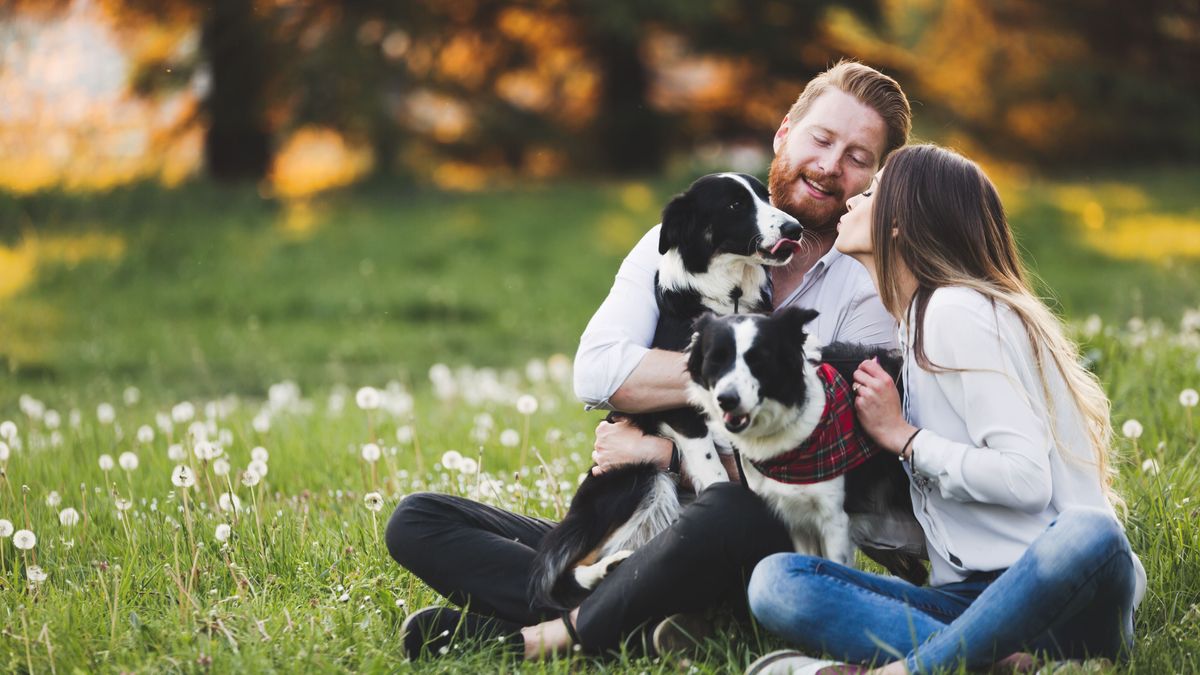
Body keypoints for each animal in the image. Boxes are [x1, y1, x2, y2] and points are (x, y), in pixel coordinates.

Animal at [528, 170, 801, 607]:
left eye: (766, 196)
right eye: (734, 205)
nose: (795, 228)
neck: (731, 296)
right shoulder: (680, 407)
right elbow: (715, 470)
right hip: (638, 478)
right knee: (567, 573)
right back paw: (608, 568)